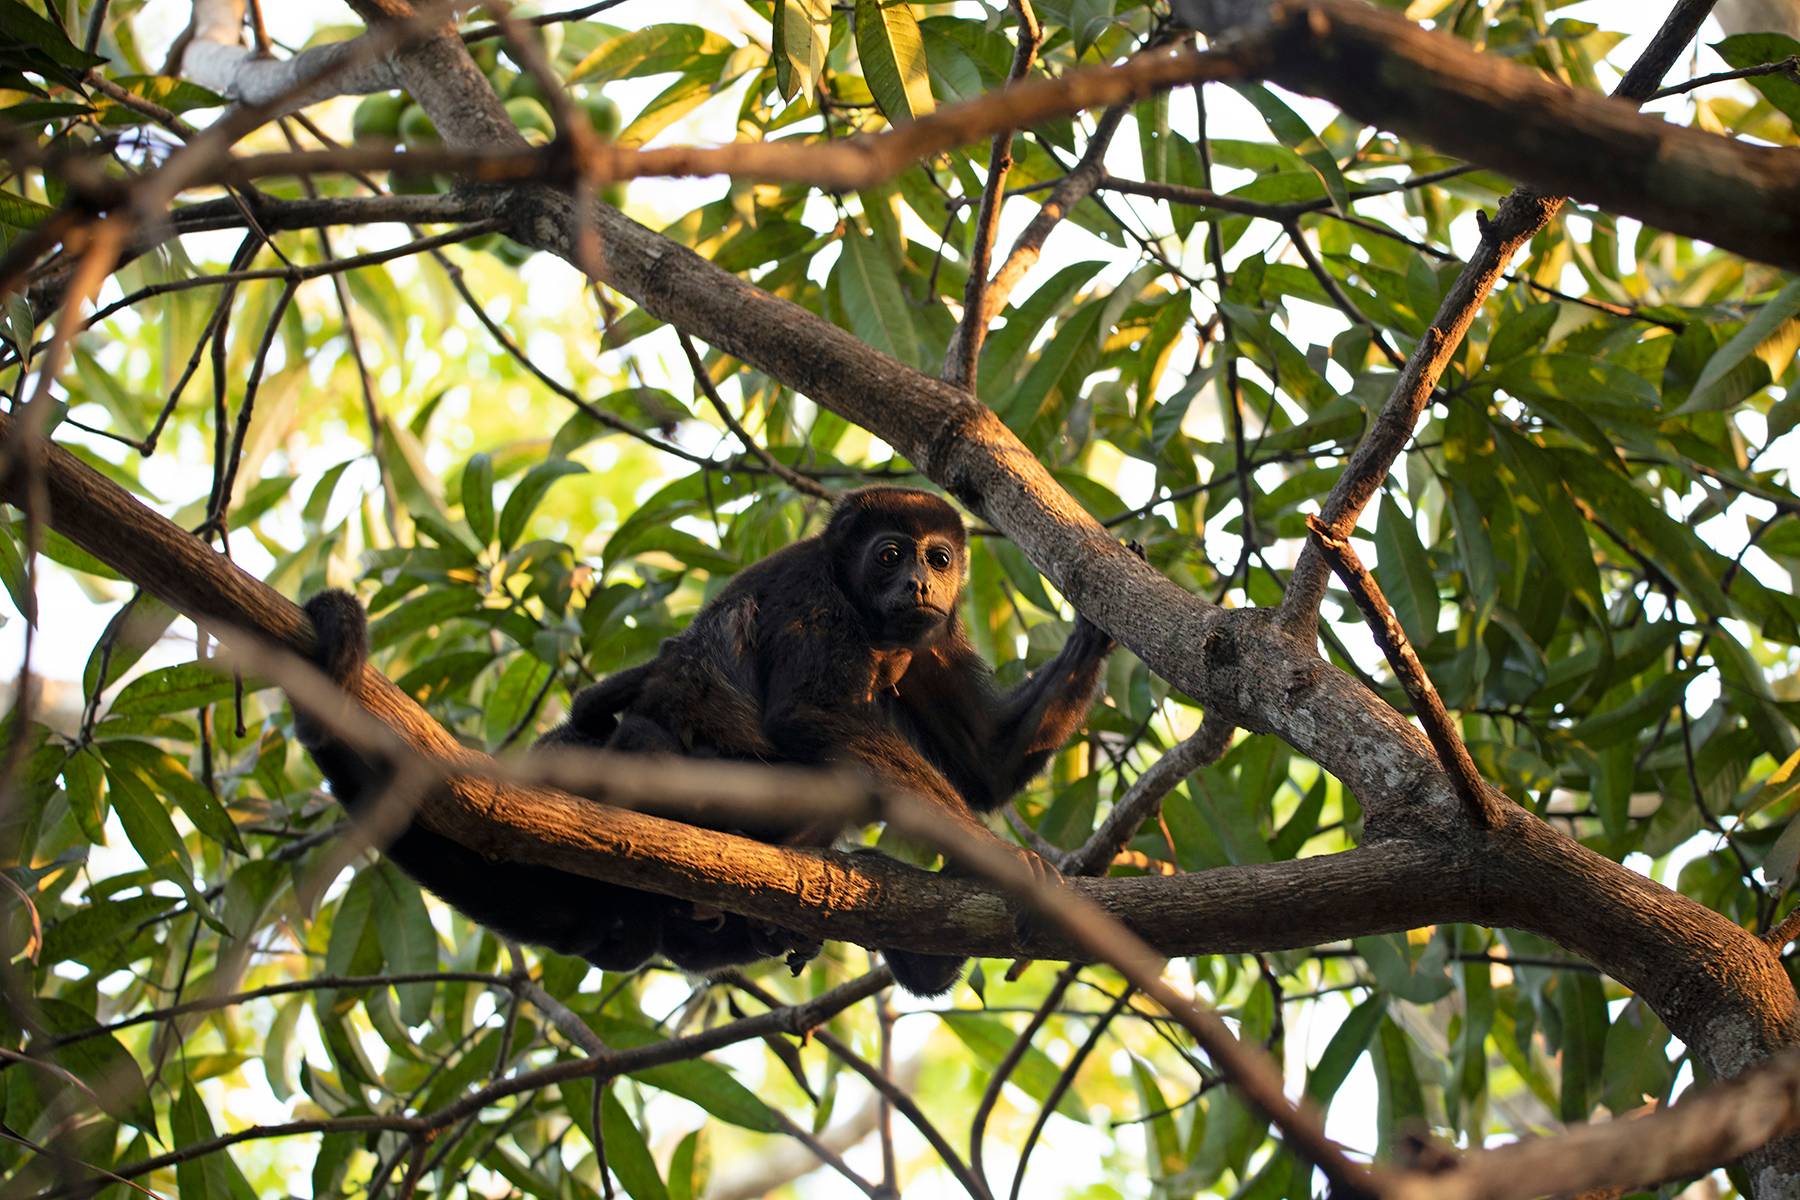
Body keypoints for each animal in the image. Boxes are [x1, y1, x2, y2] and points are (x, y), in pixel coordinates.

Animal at [292, 486, 1118, 996]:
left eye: (938, 557)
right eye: (889, 554)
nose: (918, 582)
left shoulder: (932, 639)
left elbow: (985, 764)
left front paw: (1096, 627)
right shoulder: (817, 599)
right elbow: (811, 718)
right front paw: (999, 858)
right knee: (647, 730)